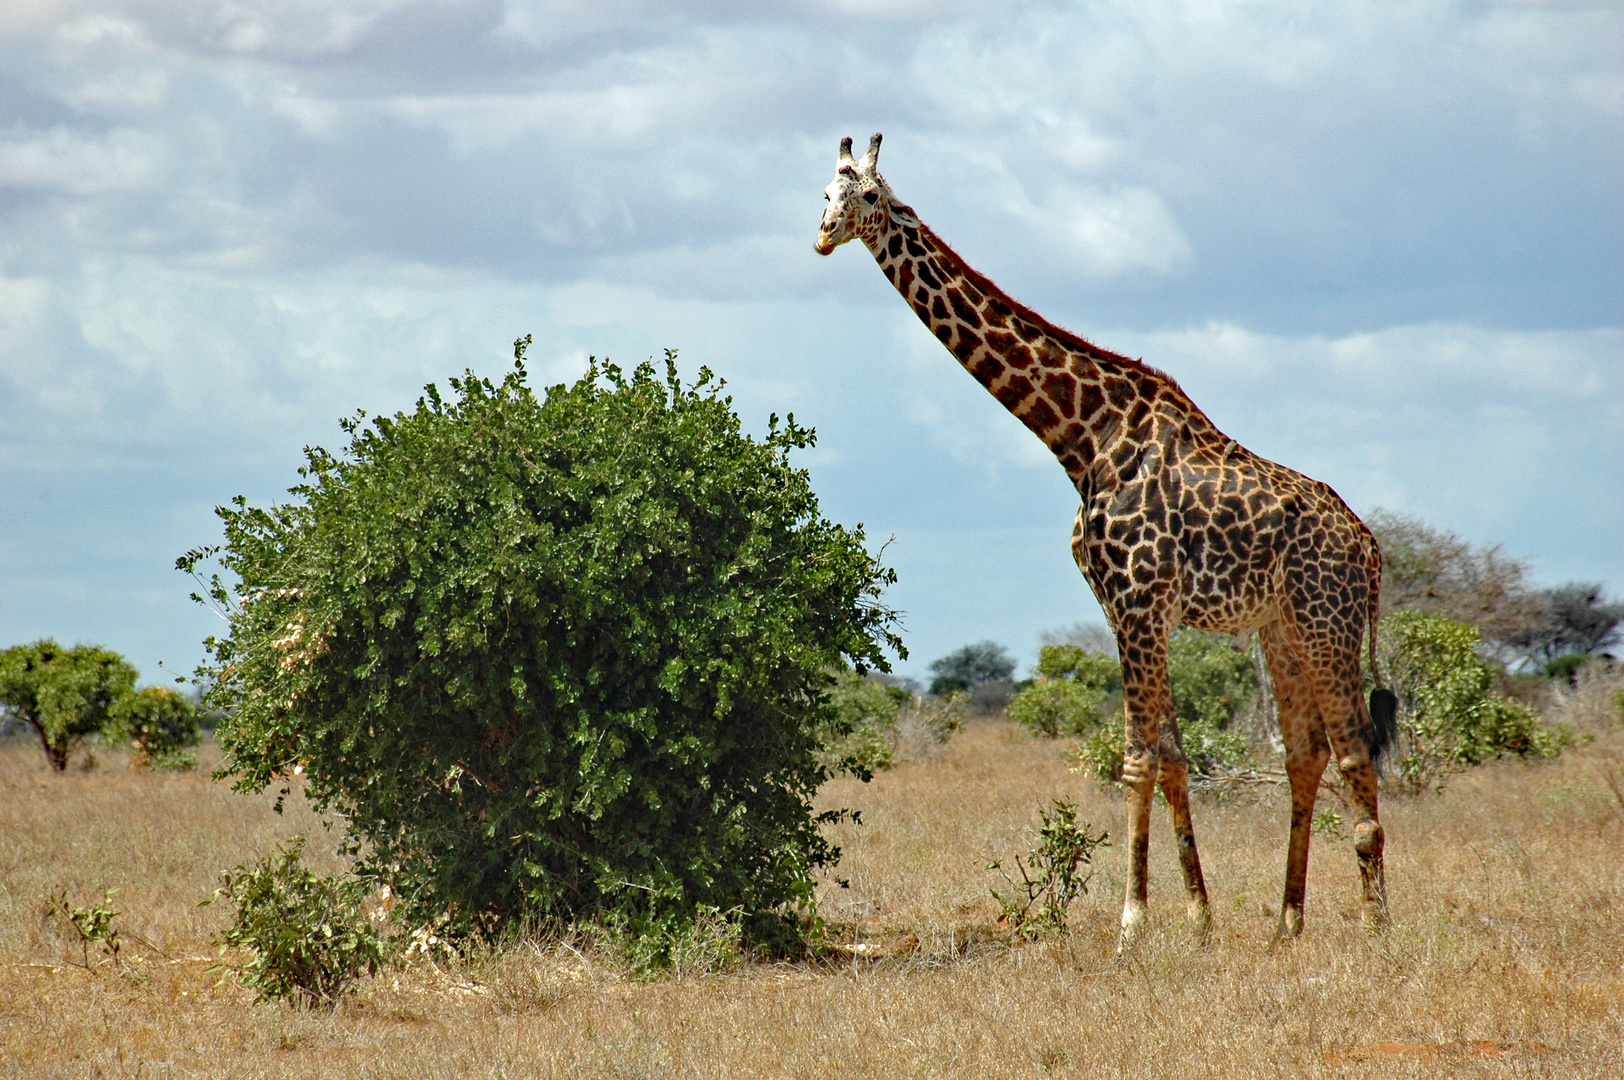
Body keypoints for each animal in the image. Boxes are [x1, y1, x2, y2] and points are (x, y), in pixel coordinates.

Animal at [818, 134, 1403, 941]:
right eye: (824, 191)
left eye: (869, 196)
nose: (823, 236)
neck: (1080, 435)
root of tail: (1370, 549)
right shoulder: (1125, 608)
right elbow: (1174, 755)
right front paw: (1198, 918)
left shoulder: (1138, 602)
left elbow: (1136, 760)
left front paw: (1131, 921)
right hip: (1281, 629)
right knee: (1306, 754)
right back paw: (1287, 924)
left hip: (1327, 622)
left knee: (1353, 755)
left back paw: (1379, 928)